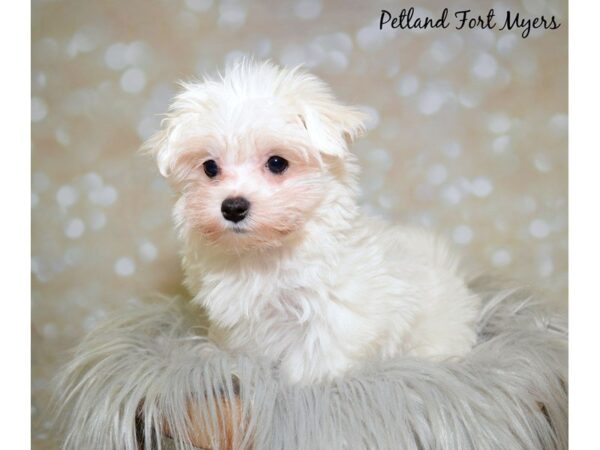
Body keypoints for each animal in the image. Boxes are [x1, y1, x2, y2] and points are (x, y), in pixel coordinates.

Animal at [143, 59, 480, 384]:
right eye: (210, 168)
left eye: (277, 163)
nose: (233, 207)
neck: (263, 253)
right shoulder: (237, 324)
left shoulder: (334, 315)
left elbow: (314, 362)